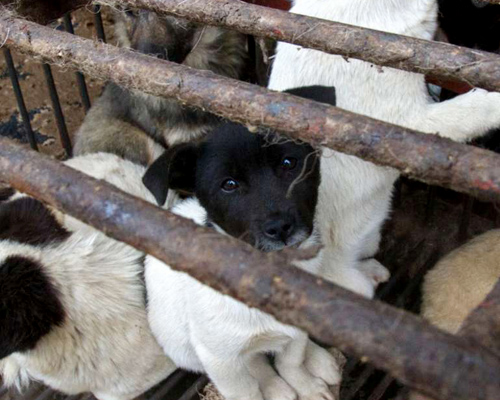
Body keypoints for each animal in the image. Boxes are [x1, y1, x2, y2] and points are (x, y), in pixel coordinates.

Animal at [142, 86, 344, 400]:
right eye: (229, 185)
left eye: (289, 163)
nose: (280, 228)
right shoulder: (218, 357)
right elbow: (246, 388)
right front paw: (281, 386)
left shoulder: (295, 331)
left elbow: (292, 360)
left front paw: (307, 386)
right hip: (182, 346)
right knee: (253, 362)